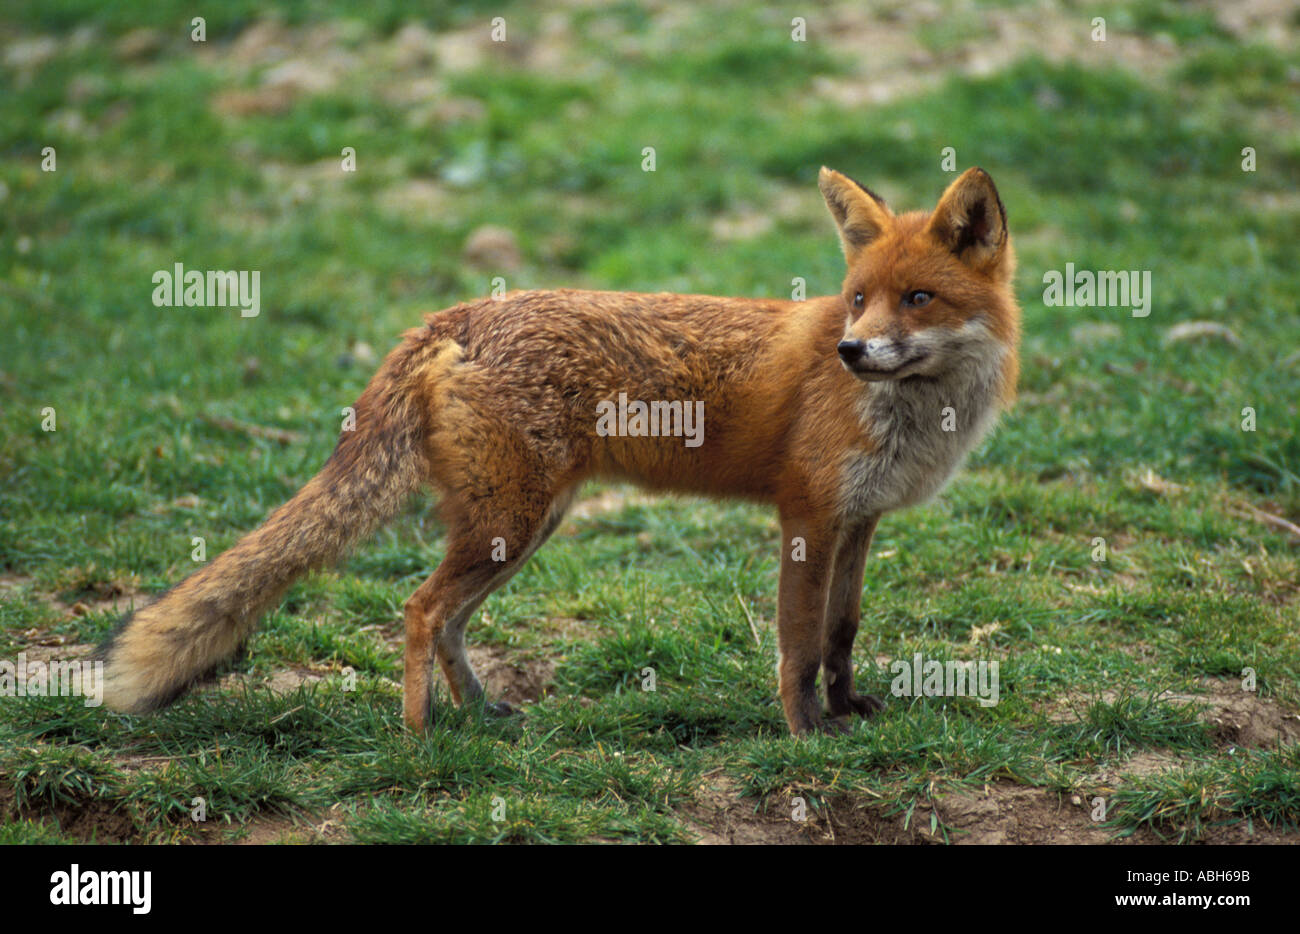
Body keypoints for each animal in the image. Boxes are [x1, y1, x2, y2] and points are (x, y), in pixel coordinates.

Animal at [97, 166, 1020, 736]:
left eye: (917, 298)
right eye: (858, 299)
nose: (851, 351)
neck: (915, 414)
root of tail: (465, 312)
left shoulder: (858, 521)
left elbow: (841, 633)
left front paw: (848, 708)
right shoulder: (807, 516)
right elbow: (797, 644)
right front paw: (805, 735)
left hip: (522, 526)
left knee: (446, 619)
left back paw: (479, 715)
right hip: (512, 521)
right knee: (418, 608)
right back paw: (419, 738)